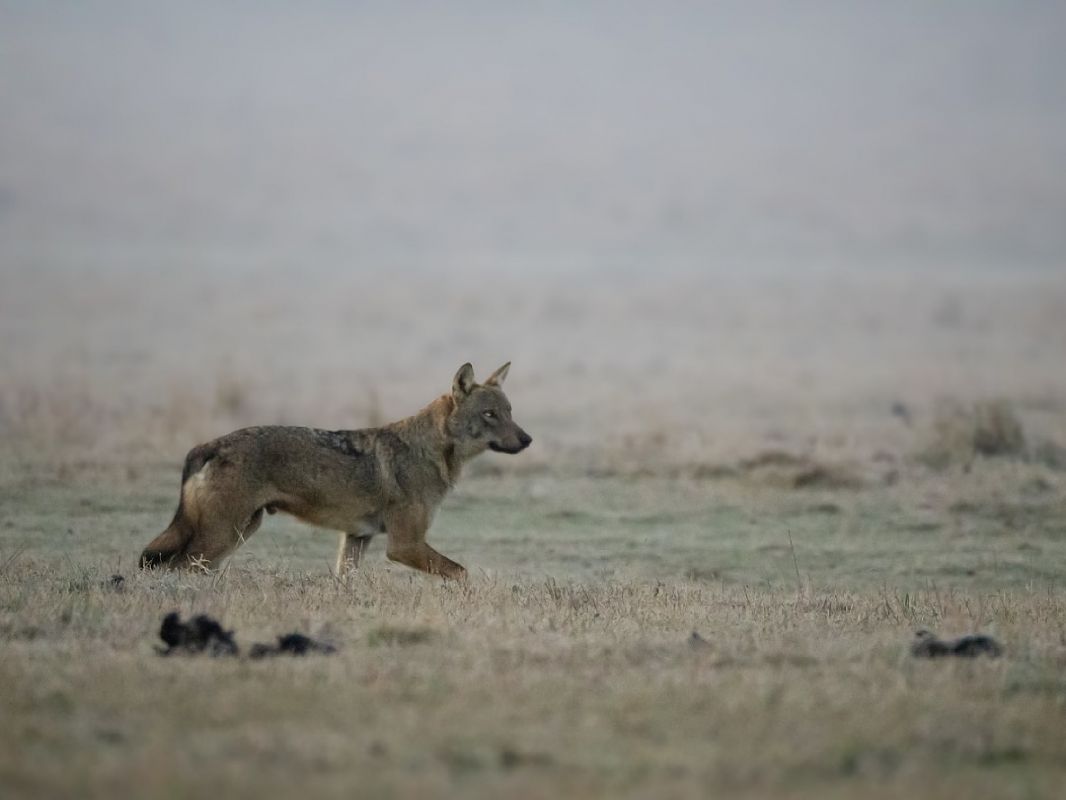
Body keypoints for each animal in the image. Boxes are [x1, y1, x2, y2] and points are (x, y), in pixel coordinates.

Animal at [139, 363, 531, 578]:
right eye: (490, 415)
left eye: (510, 412)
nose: (527, 440)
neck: (430, 451)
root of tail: (207, 445)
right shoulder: (404, 545)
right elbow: (462, 574)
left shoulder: (357, 538)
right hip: (221, 537)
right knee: (171, 568)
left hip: (236, 535)